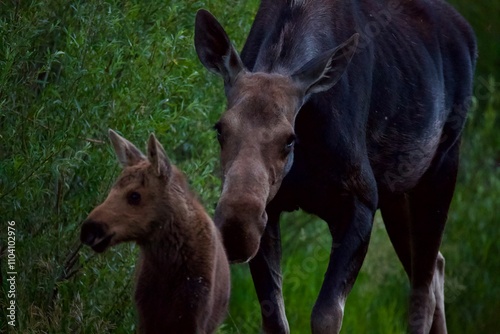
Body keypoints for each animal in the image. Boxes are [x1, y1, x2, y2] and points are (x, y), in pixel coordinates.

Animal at [193, 0, 474, 332]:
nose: (238, 229)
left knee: (423, 289)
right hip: (397, 193)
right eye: (220, 128)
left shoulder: (362, 199)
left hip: (442, 167)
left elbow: (326, 315)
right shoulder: (271, 209)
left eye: (289, 139)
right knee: (435, 268)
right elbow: (274, 317)